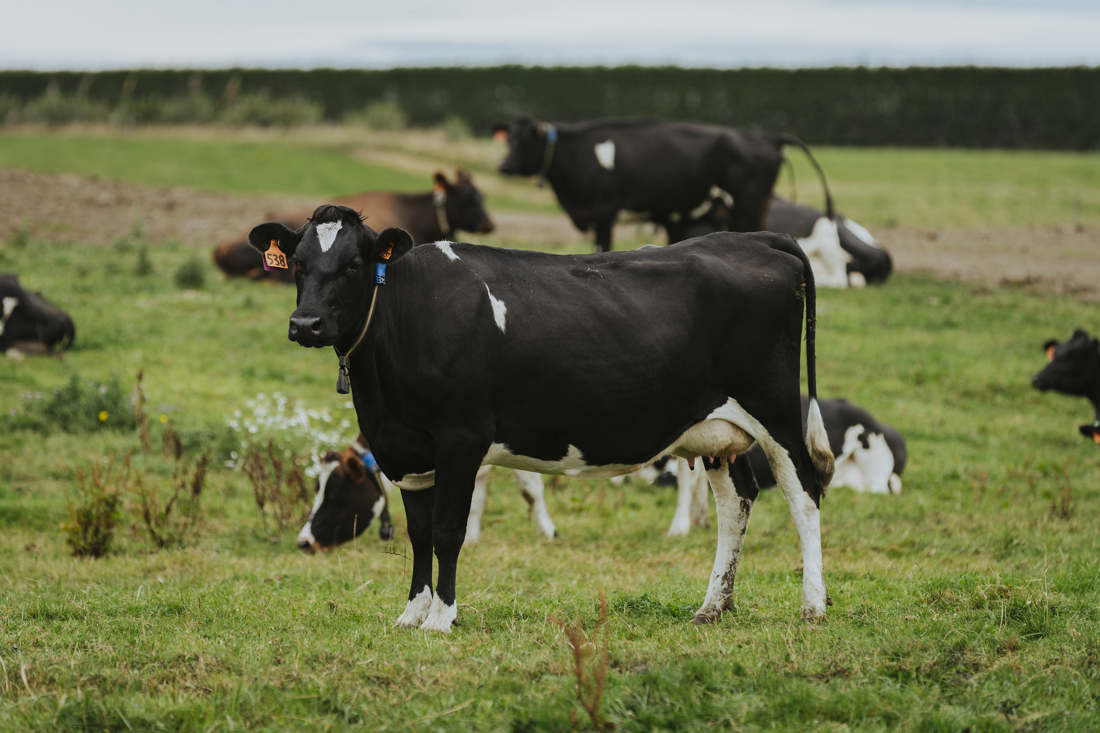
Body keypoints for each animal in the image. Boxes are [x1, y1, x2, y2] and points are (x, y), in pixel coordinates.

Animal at [247, 203, 834, 632]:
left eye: (353, 265)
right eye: (298, 263)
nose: (306, 323)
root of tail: (753, 237)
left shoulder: (461, 438)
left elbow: (448, 530)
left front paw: (442, 617)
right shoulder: (408, 450)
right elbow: (418, 533)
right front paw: (412, 612)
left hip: (777, 412)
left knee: (803, 495)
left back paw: (812, 606)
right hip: (718, 430)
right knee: (736, 503)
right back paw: (714, 606)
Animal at [493, 117, 832, 253]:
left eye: (525, 140)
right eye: (508, 139)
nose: (504, 165)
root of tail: (767, 139)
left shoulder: (605, 208)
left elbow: (602, 246)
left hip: (746, 206)